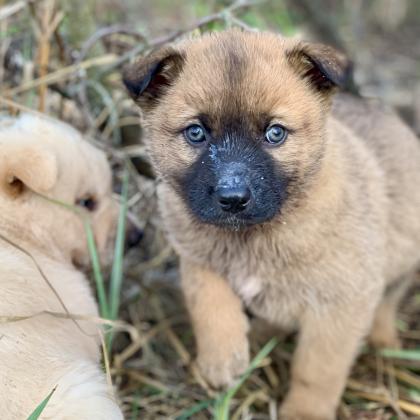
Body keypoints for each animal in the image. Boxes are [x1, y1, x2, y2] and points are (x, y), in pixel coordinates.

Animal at [123, 29, 420, 419]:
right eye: (196, 133)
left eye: (275, 133)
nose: (233, 198)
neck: (254, 237)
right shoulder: (197, 257)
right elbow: (209, 302)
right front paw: (222, 359)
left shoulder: (341, 303)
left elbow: (317, 370)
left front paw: (305, 412)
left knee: (390, 299)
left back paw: (383, 342)